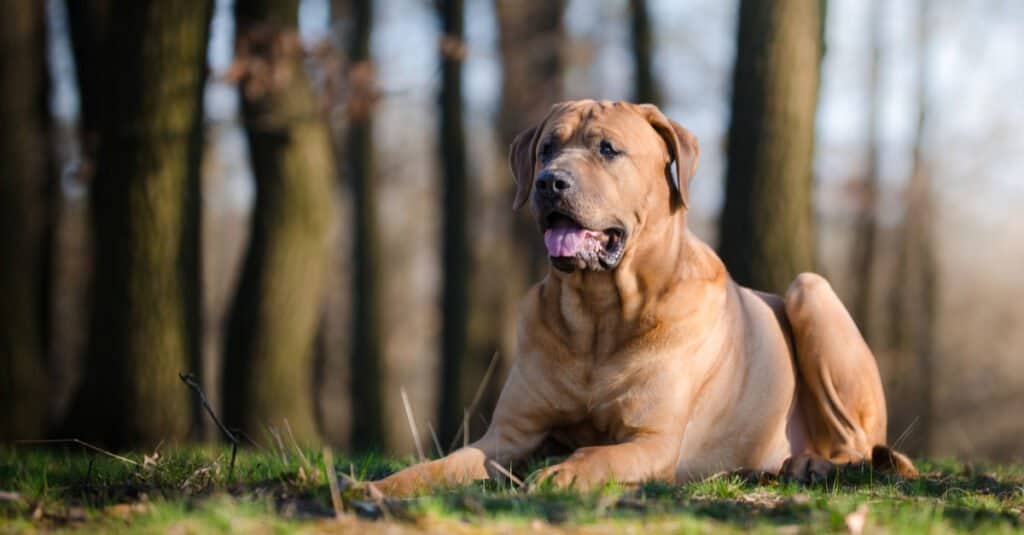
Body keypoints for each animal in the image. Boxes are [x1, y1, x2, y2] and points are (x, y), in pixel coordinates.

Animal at [372, 100, 917, 496]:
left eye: (608, 149)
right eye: (546, 148)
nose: (550, 182)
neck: (598, 316)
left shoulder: (653, 440)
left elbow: (601, 454)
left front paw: (563, 472)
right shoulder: (508, 435)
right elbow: (450, 461)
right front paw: (386, 485)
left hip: (810, 290)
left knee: (859, 444)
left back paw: (811, 464)